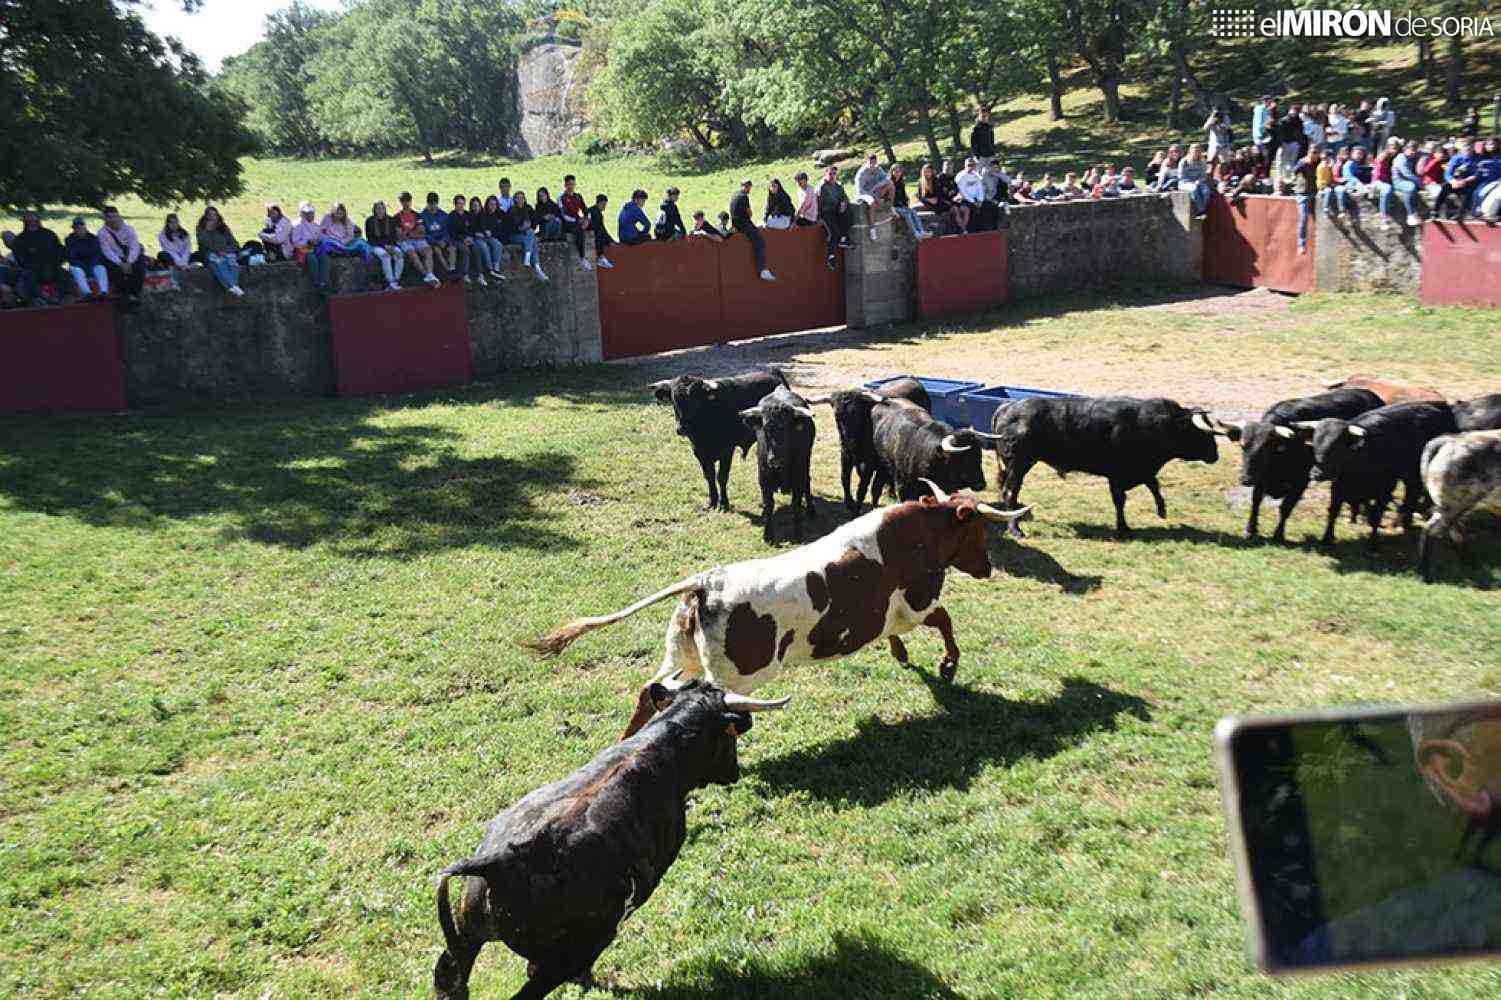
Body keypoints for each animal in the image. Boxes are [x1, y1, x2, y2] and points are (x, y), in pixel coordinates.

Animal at [519, 483, 1032, 732]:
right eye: (978, 531)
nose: (987, 568)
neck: (916, 534)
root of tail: (705, 583)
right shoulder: (920, 603)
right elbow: (945, 621)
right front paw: (946, 665)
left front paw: (905, 656)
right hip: (729, 679)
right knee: (681, 699)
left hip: (681, 658)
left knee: (652, 690)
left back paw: (628, 741)